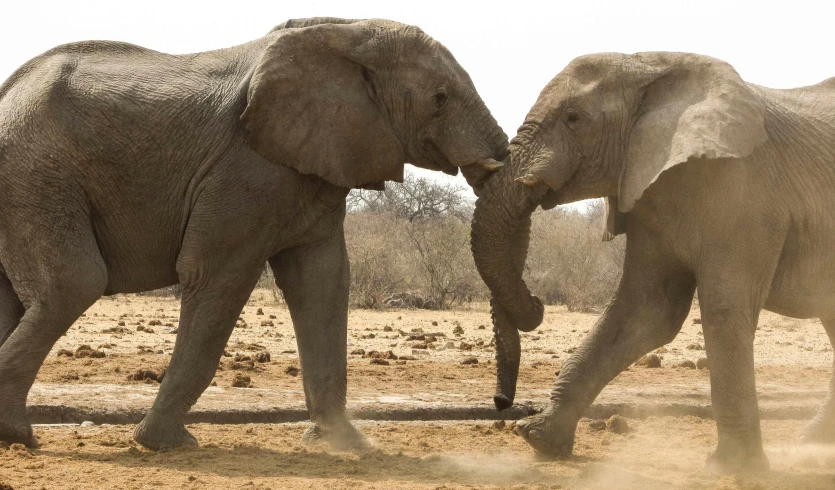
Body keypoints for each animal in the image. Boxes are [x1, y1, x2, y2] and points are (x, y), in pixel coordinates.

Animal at [0, 16, 510, 452]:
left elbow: (322, 282)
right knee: (74, 284)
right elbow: (218, 277)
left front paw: (349, 447)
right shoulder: (246, 170)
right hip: (36, 174)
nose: (502, 407)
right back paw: (20, 436)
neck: (346, 31)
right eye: (440, 98)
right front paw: (166, 445)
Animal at [470, 51, 835, 472]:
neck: (650, 67)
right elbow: (646, 312)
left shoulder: (747, 197)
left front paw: (732, 468)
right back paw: (811, 442)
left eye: (573, 119)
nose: (502, 403)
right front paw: (539, 440)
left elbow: (724, 310)